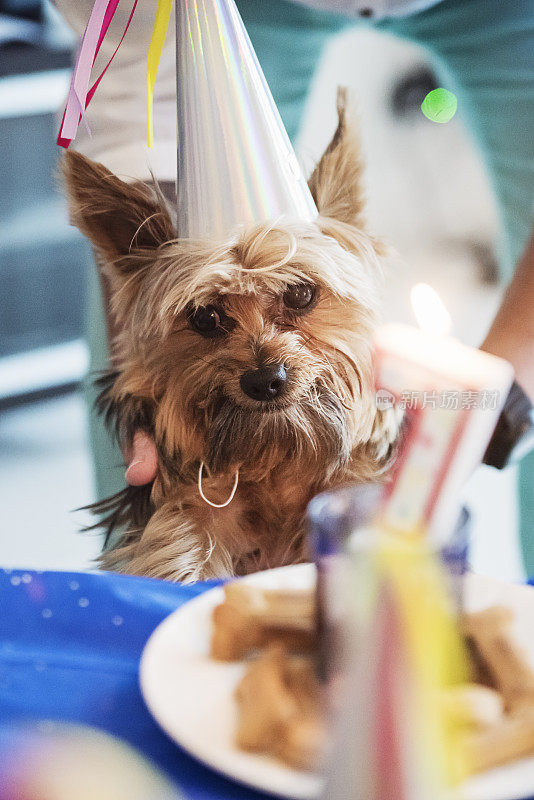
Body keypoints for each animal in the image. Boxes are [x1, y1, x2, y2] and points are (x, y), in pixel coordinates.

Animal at [63, 92, 398, 580]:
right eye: (205, 317)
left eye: (300, 293)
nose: (265, 380)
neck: (276, 460)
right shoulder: (186, 512)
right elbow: (182, 556)